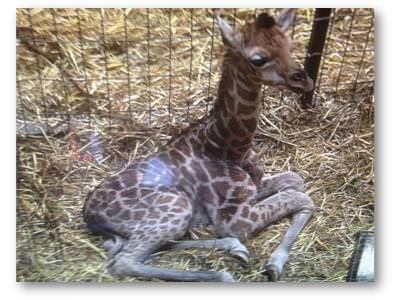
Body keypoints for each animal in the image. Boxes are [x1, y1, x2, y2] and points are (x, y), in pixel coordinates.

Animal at [83, 8, 316, 282]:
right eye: (258, 59)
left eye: (291, 45)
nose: (305, 81)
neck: (229, 146)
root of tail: (89, 214)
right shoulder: (233, 219)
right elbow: (300, 197)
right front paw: (273, 265)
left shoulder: (254, 187)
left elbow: (296, 181)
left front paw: (273, 263)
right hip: (176, 207)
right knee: (122, 262)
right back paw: (223, 274)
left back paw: (235, 249)